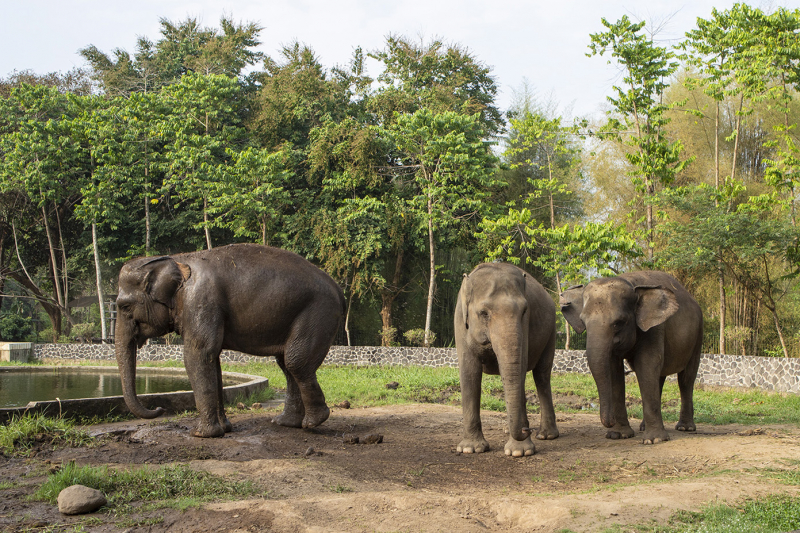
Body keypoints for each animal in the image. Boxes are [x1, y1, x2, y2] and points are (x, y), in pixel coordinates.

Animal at [114, 243, 346, 438]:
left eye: (124, 306)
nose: (159, 408)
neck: (176, 259)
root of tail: (338, 289)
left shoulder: (201, 301)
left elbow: (197, 355)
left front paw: (201, 434)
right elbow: (213, 360)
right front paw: (224, 429)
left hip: (318, 312)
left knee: (295, 362)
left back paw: (313, 422)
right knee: (287, 364)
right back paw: (285, 423)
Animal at [454, 262, 560, 458]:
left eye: (524, 311)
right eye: (484, 313)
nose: (527, 429)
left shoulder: (524, 326)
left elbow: (520, 367)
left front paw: (520, 452)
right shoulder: (460, 323)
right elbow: (469, 372)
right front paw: (470, 449)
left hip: (551, 333)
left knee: (541, 376)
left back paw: (546, 435)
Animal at [560, 272, 704, 442]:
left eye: (619, 322)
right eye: (583, 321)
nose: (609, 422)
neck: (630, 283)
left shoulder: (655, 328)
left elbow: (646, 365)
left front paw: (654, 440)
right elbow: (614, 370)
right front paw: (618, 435)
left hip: (698, 335)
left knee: (686, 379)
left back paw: (685, 428)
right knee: (660, 378)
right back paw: (643, 427)